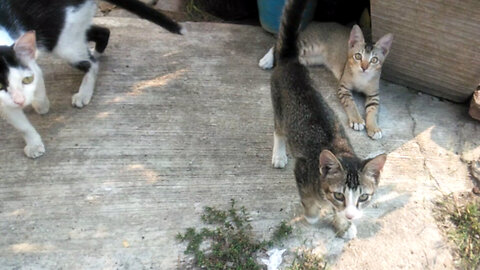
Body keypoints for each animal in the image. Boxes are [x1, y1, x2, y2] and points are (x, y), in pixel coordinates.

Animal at [0, 0, 184, 158]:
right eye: (2, 86)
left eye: (25, 80)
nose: (20, 101)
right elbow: (21, 124)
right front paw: (33, 142)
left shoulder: (32, 66)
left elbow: (38, 85)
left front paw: (41, 105)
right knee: (102, 32)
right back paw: (95, 51)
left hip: (62, 39)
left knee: (91, 62)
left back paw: (85, 89)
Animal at [260, 21, 392, 139]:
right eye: (358, 56)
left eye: (374, 60)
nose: (364, 67)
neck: (362, 77)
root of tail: (316, 23)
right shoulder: (343, 87)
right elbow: (350, 103)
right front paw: (357, 120)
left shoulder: (374, 94)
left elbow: (373, 110)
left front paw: (374, 128)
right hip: (307, 46)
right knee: (278, 44)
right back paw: (266, 60)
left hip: (308, 59)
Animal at [272, 0, 388, 238]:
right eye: (339, 195)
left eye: (364, 197)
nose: (352, 215)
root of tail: (291, 61)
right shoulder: (302, 171)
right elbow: (310, 202)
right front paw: (314, 215)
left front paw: (343, 224)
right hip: (278, 105)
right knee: (278, 129)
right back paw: (278, 154)